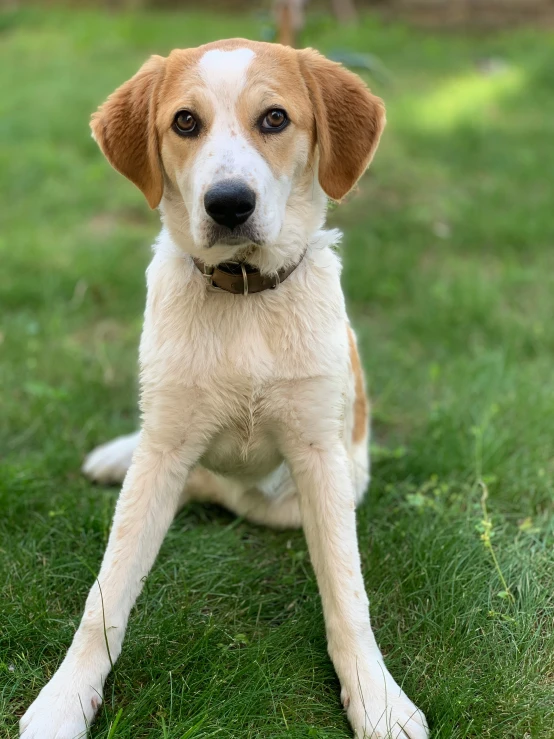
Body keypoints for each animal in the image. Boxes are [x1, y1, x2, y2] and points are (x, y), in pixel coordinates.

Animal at [20, 40, 426, 739]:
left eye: (275, 118)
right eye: (185, 122)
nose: (228, 204)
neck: (243, 296)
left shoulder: (320, 457)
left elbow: (348, 596)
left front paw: (376, 699)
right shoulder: (164, 448)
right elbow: (106, 593)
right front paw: (64, 700)